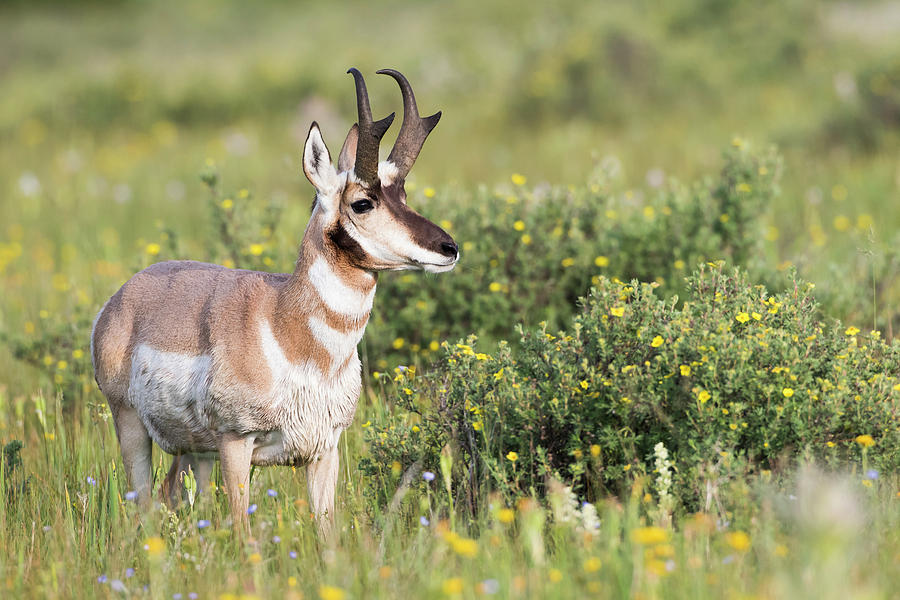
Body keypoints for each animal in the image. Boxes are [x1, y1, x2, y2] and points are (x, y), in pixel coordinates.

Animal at [90, 68, 458, 532]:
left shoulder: (324, 449)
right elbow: (242, 531)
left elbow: (326, 530)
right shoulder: (236, 442)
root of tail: (123, 296)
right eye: (363, 202)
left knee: (173, 495)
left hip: (195, 452)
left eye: (403, 197)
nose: (449, 248)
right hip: (133, 427)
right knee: (143, 503)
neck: (289, 329)